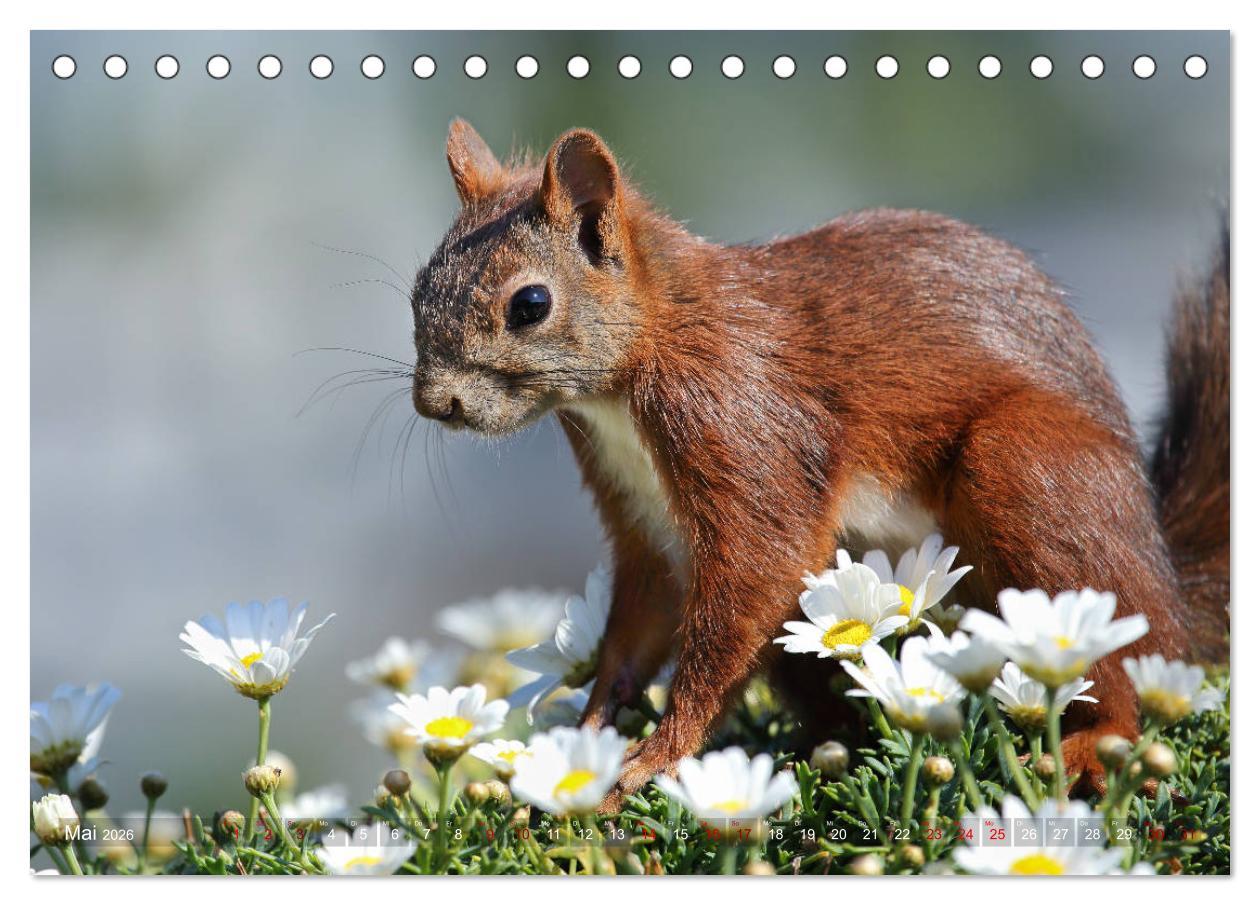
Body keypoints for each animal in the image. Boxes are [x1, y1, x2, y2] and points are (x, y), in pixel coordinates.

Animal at [409, 119, 1229, 812]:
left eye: (530, 304)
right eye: (418, 290)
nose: (434, 402)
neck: (639, 362)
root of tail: (1168, 585)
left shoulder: (742, 419)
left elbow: (756, 574)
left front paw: (660, 753)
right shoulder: (641, 517)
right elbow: (635, 627)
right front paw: (591, 736)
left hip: (1029, 470)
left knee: (1122, 655)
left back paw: (1097, 738)